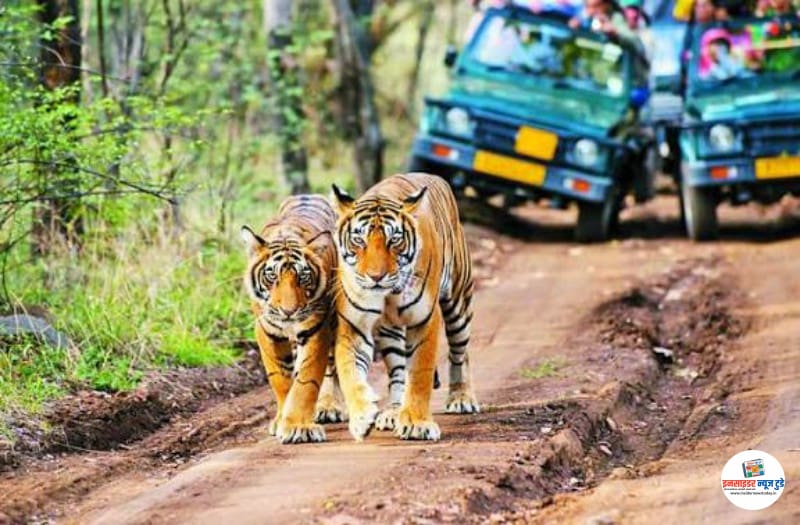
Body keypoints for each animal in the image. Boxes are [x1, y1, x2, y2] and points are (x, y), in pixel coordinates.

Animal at [241, 194, 346, 444]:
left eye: (303, 276)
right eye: (271, 276)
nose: (288, 311)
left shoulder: (317, 328)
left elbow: (307, 380)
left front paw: (299, 427)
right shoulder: (267, 330)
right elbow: (280, 378)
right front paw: (281, 420)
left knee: (330, 367)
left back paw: (328, 407)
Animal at [331, 173, 479, 442]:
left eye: (394, 240)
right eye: (359, 240)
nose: (376, 277)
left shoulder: (425, 320)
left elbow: (419, 374)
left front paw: (417, 424)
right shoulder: (353, 327)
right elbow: (349, 373)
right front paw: (363, 417)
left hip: (459, 303)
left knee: (460, 352)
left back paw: (461, 397)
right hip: (391, 332)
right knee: (398, 371)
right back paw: (393, 412)